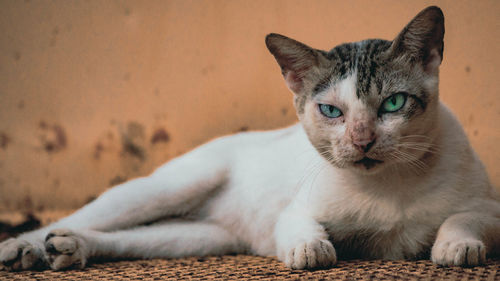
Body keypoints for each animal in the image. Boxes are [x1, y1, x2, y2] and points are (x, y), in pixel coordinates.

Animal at [0, 6, 500, 270]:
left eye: (393, 104)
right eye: (331, 111)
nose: (362, 141)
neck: (390, 188)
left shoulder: (492, 209)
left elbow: (465, 217)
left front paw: (455, 244)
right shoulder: (296, 210)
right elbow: (301, 228)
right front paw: (310, 249)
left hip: (200, 239)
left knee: (124, 239)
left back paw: (68, 247)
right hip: (167, 188)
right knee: (91, 215)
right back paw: (26, 246)